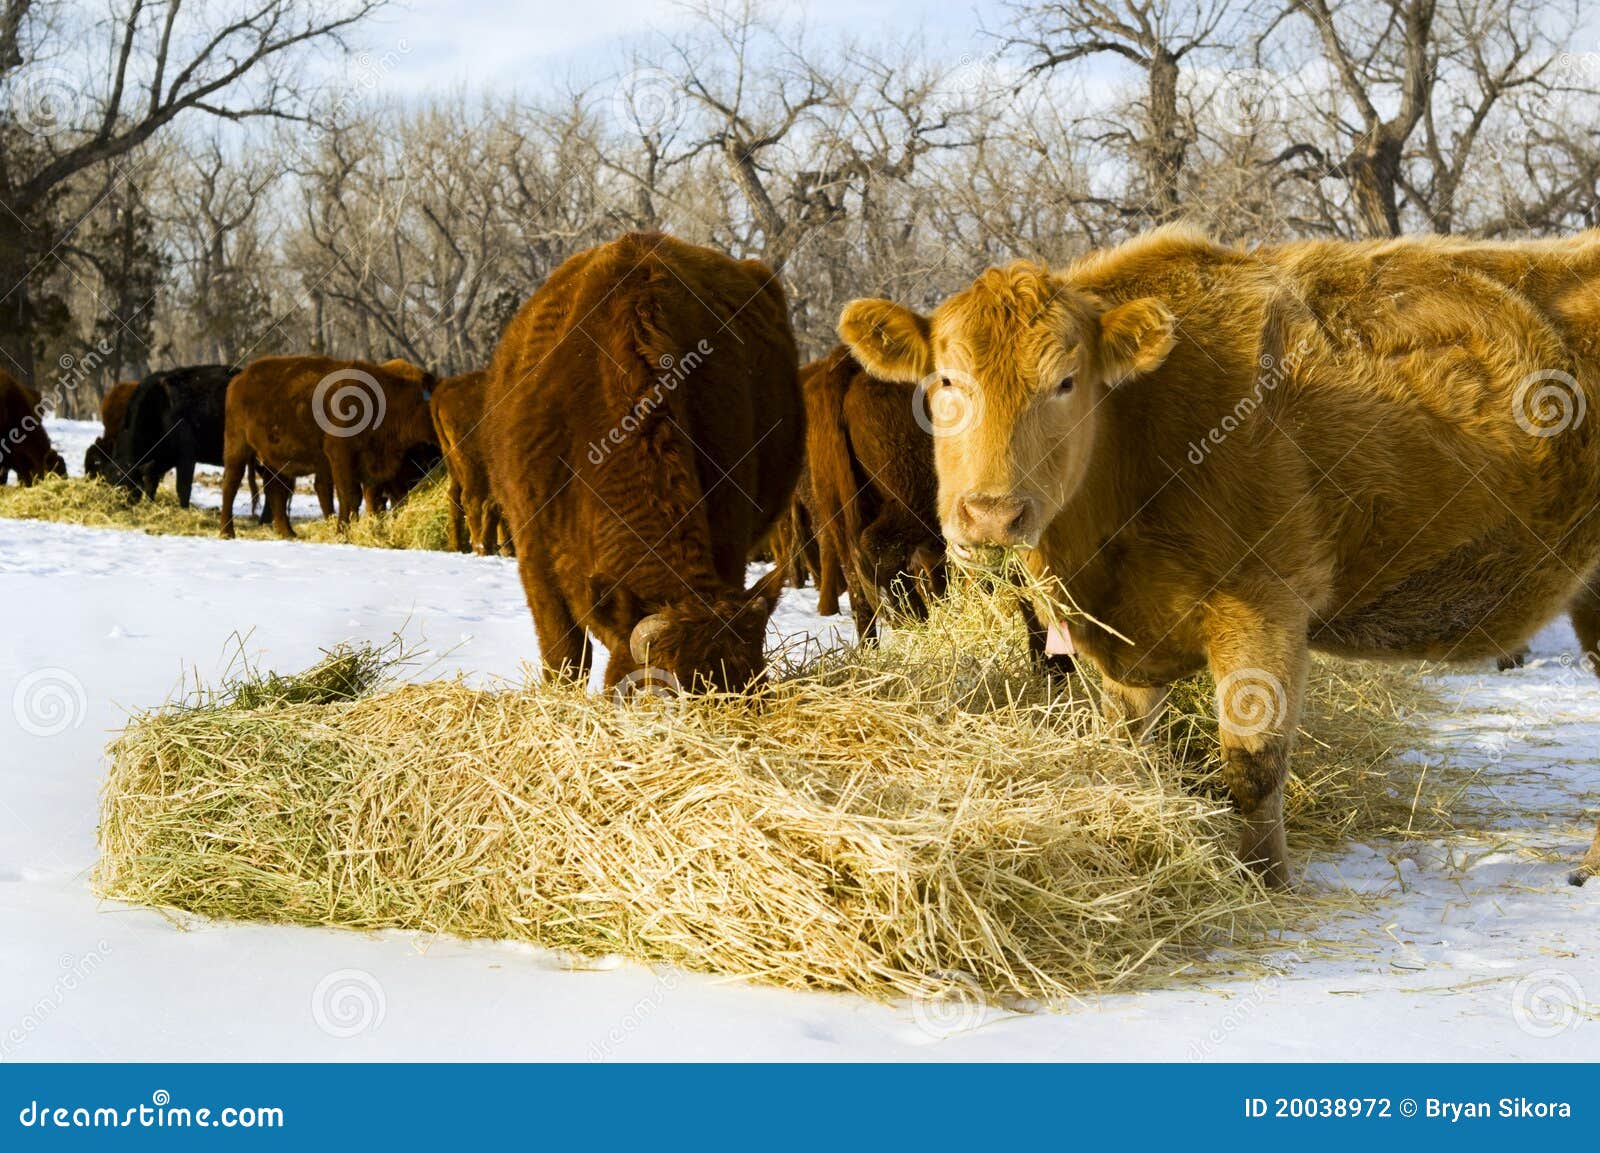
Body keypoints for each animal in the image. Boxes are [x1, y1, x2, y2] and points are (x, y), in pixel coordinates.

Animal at [220, 353, 438, 537]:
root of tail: (239, 379)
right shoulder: (340, 456)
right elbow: (349, 495)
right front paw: (343, 531)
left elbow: (365, 498)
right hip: (237, 446)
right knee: (231, 485)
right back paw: (227, 532)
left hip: (276, 459)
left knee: (276, 490)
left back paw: (288, 533)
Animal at [428, 366, 502, 550]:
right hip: (473, 467)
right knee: (471, 499)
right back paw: (479, 545)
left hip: (454, 465)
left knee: (455, 497)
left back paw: (458, 546)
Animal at [838, 227, 1600, 889]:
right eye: (946, 380)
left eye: (1066, 383)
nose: (993, 514)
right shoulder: (1124, 643)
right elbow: (1135, 748)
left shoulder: (1264, 604)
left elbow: (1253, 762)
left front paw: (1266, 879)